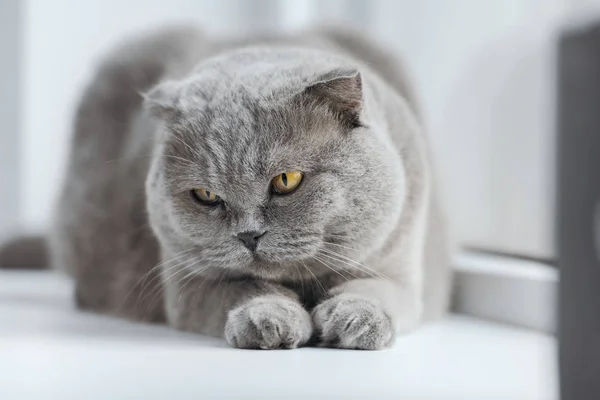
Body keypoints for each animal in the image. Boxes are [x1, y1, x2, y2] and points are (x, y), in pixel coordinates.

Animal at [0, 26, 452, 348]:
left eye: (286, 181)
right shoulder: (185, 282)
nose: (249, 235)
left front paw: (355, 320)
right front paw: (269, 319)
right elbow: (244, 287)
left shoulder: (398, 262)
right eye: (206, 196)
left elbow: (379, 290)